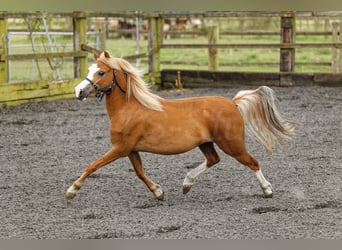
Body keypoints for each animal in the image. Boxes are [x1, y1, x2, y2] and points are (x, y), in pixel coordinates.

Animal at [65, 50, 296, 201]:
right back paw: (186, 184)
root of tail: (232, 103)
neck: (129, 109)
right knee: (213, 159)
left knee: (253, 162)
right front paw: (158, 192)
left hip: (232, 144)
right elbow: (140, 172)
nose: (78, 91)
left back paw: (267, 190)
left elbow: (92, 165)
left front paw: (71, 191)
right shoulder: (130, 149)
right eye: (89, 69)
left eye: (101, 72)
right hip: (206, 143)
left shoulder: (120, 148)